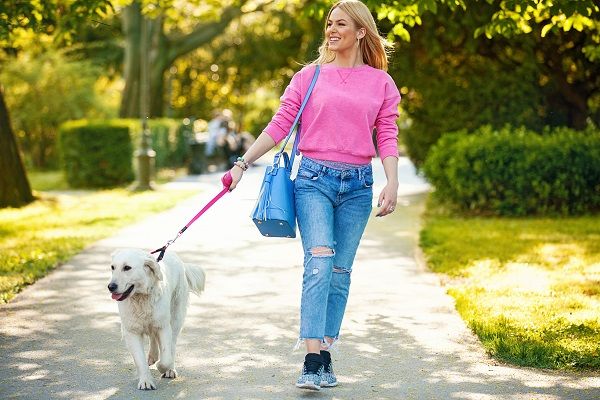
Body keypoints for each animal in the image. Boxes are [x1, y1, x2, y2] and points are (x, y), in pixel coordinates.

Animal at [106, 248, 204, 390]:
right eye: (112, 267)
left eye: (127, 268)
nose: (111, 287)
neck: (140, 297)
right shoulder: (132, 331)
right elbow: (140, 360)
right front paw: (146, 381)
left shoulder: (163, 326)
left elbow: (166, 358)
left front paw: (162, 367)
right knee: (153, 337)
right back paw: (153, 356)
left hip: (176, 318)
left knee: (172, 345)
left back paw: (170, 369)